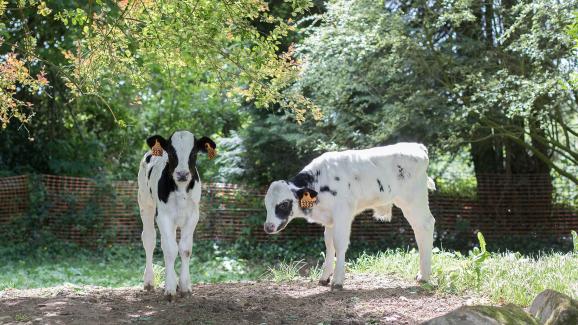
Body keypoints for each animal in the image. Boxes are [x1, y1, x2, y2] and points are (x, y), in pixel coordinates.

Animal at [137, 130, 216, 298]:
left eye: (193, 153)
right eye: (172, 152)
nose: (182, 173)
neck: (181, 190)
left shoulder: (193, 216)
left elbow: (185, 249)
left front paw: (185, 286)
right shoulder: (163, 216)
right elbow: (170, 249)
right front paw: (170, 289)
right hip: (145, 202)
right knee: (150, 239)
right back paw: (149, 281)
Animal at [264, 142, 434, 288]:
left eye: (283, 204)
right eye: (266, 205)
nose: (268, 227)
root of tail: (417, 146)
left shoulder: (343, 213)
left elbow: (339, 243)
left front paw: (337, 280)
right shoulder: (330, 220)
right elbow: (329, 244)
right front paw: (324, 277)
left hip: (413, 200)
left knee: (425, 226)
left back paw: (424, 276)